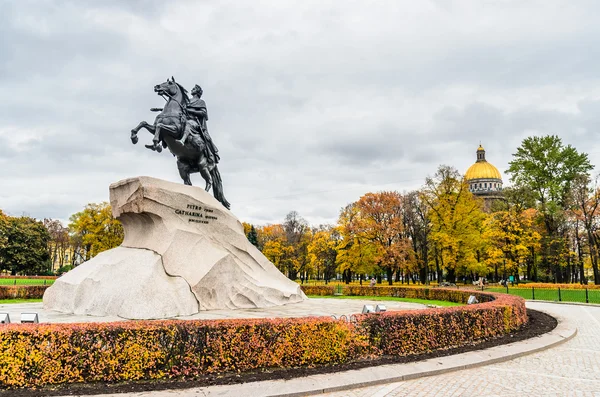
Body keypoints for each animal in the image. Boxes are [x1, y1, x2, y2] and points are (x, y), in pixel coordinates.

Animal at [130, 75, 231, 209]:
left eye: (169, 83)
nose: (156, 87)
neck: (171, 110)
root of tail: (215, 161)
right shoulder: (154, 128)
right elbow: (144, 123)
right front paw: (134, 137)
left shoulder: (174, 130)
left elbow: (160, 127)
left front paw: (156, 144)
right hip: (183, 167)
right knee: (188, 183)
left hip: (203, 165)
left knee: (209, 181)